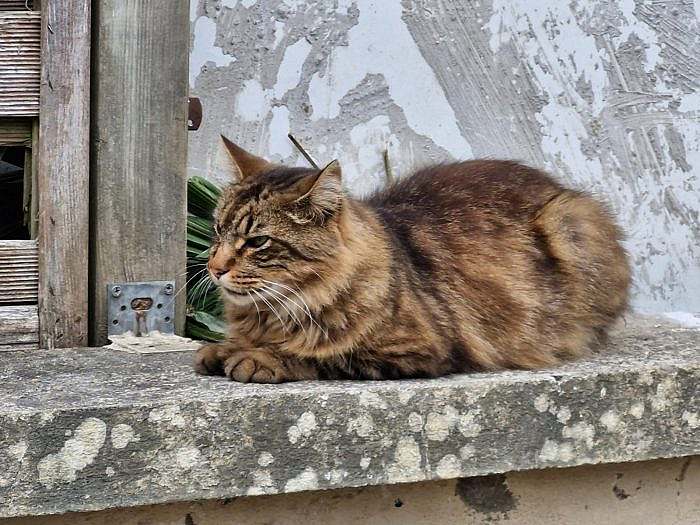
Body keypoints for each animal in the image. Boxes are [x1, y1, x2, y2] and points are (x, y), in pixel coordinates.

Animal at [195, 136, 631, 383]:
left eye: (257, 242)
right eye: (217, 229)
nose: (214, 269)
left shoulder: (417, 351)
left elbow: (321, 355)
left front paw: (255, 358)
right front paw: (224, 349)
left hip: (569, 226)